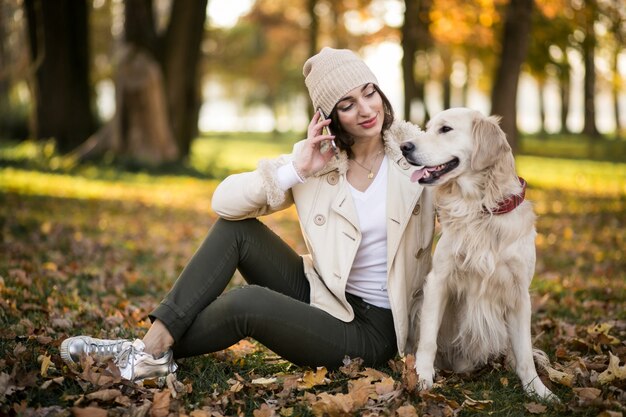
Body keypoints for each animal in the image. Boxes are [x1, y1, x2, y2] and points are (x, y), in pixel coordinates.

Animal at [400, 107, 556, 400]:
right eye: (428, 127)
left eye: (445, 129)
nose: (405, 147)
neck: (480, 208)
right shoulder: (438, 280)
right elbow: (428, 339)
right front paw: (422, 376)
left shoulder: (519, 292)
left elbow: (525, 352)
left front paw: (537, 389)